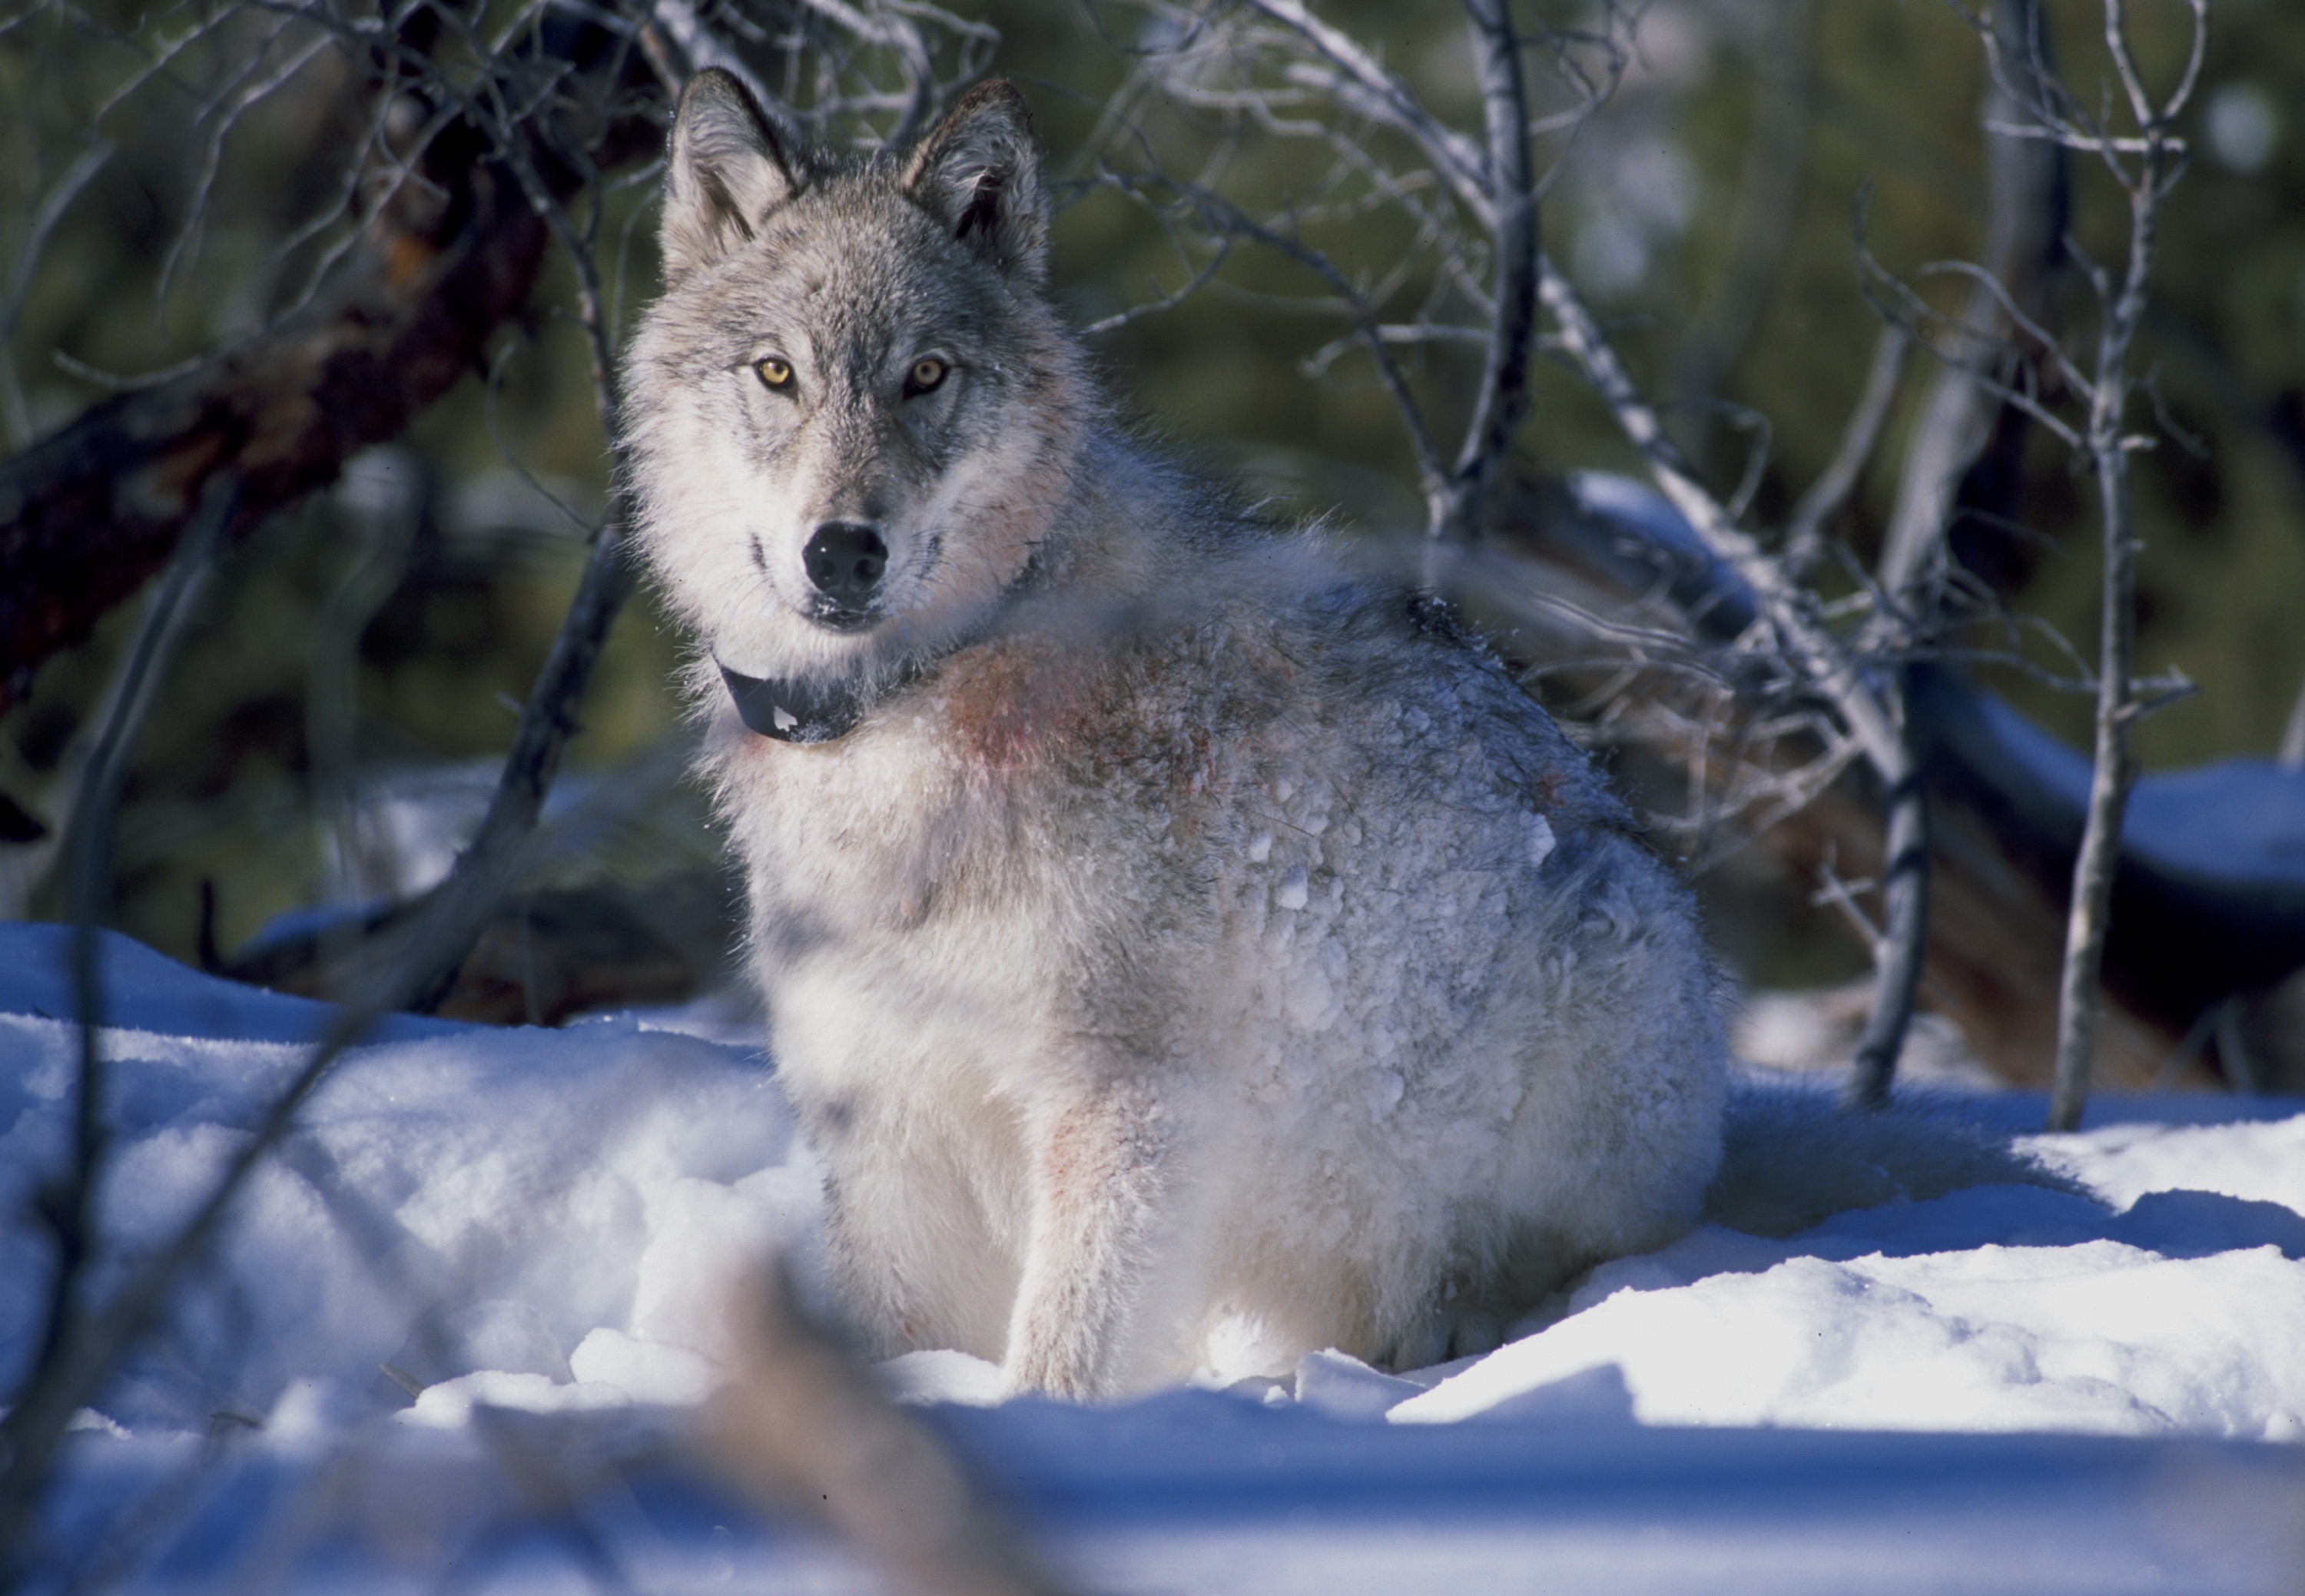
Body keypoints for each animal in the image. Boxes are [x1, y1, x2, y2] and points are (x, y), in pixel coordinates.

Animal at [618, 71, 2056, 1392]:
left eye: (925, 377)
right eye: (777, 374)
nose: (843, 550)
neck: (911, 708)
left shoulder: (1124, 1108)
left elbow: (1064, 1358)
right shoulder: (889, 1126)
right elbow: (897, 1344)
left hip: (1592, 963)